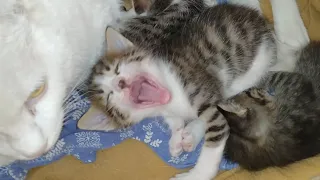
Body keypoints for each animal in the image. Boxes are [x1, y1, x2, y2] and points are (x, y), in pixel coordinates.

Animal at [79, 0, 276, 179]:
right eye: (108, 97)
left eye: (117, 69)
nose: (119, 83)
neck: (172, 96)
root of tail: (263, 23)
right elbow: (174, 120)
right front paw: (176, 134)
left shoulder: (202, 89)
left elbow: (216, 135)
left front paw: (195, 175)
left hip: (252, 71)